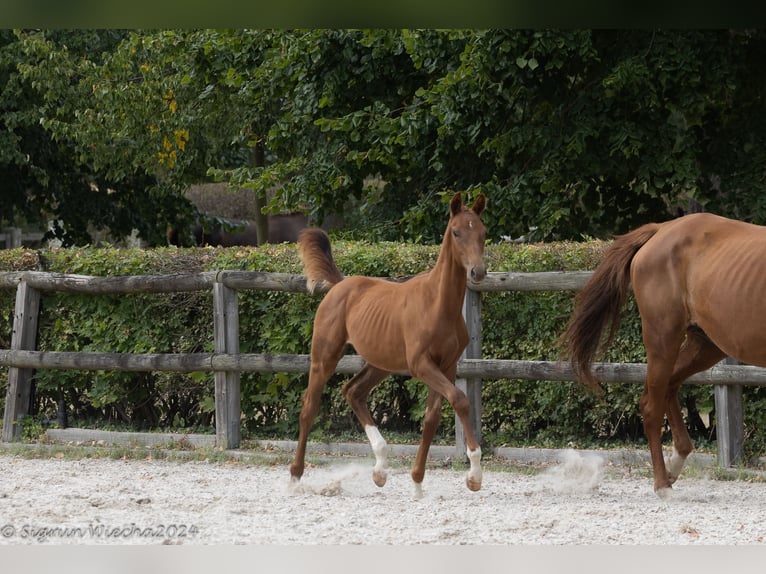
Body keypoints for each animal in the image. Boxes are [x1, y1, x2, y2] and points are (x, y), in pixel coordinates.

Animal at [292, 194, 488, 500]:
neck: (438, 304)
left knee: (353, 392)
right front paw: (474, 476)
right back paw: (295, 478)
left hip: (381, 363)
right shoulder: (421, 365)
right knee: (309, 406)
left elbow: (431, 419)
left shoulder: (447, 365)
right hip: (325, 356)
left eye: (483, 232)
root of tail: (340, 285)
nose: (478, 271)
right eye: (457, 232)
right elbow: (460, 400)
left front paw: (417, 483)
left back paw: (380, 469)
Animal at [560, 214, 766, 498]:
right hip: (663, 339)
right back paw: (662, 484)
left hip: (704, 345)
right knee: (651, 405)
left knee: (670, 386)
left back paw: (675, 464)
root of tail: (661, 229)